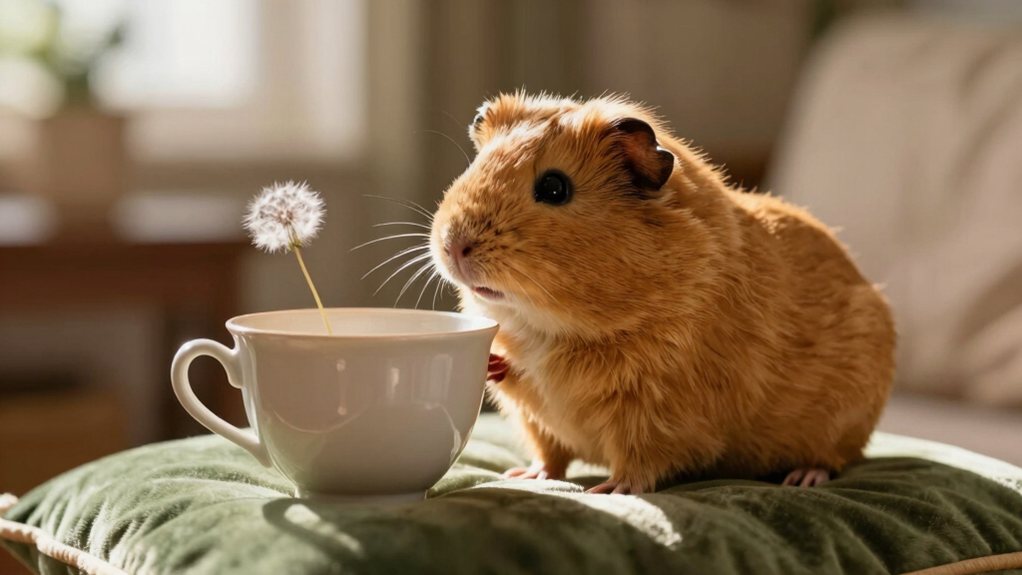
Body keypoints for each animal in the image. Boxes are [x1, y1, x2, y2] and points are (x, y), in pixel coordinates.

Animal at [429, 92, 895, 494]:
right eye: (478, 164)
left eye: (554, 187)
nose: (454, 245)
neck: (551, 329)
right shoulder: (534, 414)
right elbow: (549, 453)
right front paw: (525, 475)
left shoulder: (655, 412)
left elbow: (639, 461)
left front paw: (609, 490)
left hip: (840, 424)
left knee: (833, 459)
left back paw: (801, 479)